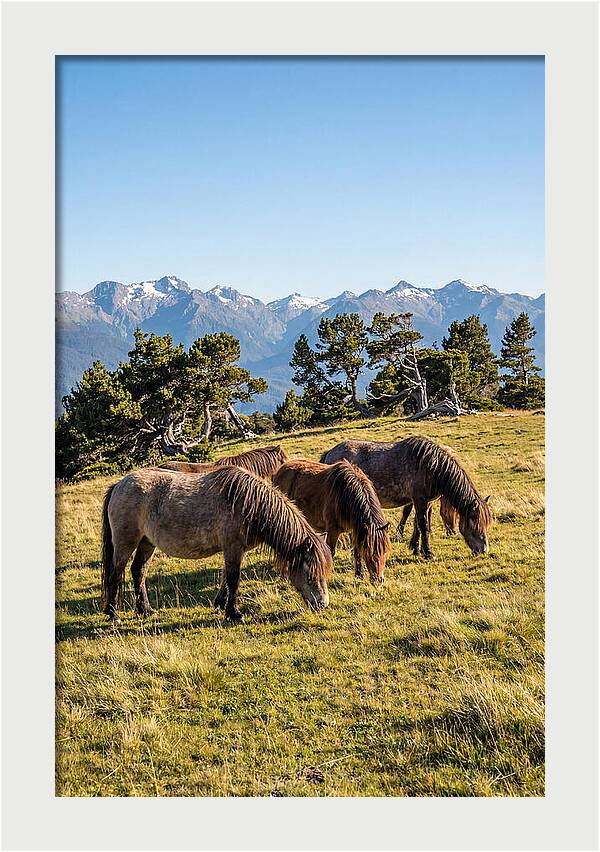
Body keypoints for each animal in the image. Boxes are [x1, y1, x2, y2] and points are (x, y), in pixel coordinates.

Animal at [101, 465, 332, 623]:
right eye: (310, 573)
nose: (322, 604)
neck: (247, 504)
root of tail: (119, 485)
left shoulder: (235, 550)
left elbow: (225, 577)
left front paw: (221, 604)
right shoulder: (233, 547)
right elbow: (233, 579)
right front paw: (234, 613)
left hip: (147, 543)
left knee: (138, 571)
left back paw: (145, 610)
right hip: (125, 542)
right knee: (115, 573)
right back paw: (113, 614)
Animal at [320, 436, 492, 559]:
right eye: (475, 522)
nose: (484, 550)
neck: (431, 466)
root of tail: (330, 453)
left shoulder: (425, 502)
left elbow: (418, 524)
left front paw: (415, 548)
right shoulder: (419, 499)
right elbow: (423, 524)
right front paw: (428, 553)